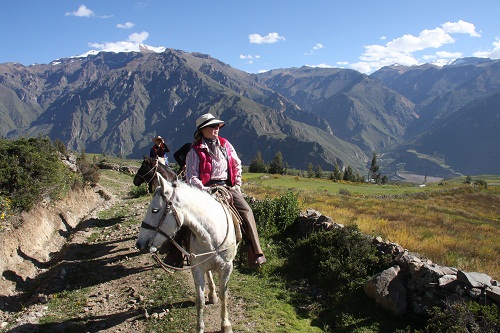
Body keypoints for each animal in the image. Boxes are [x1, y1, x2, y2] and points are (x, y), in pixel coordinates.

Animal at [136, 182, 237, 332]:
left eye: (155, 210)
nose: (139, 244)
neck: (212, 236)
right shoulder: (197, 268)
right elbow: (200, 300)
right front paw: (199, 328)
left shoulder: (227, 267)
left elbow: (224, 295)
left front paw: (225, 324)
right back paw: (212, 295)